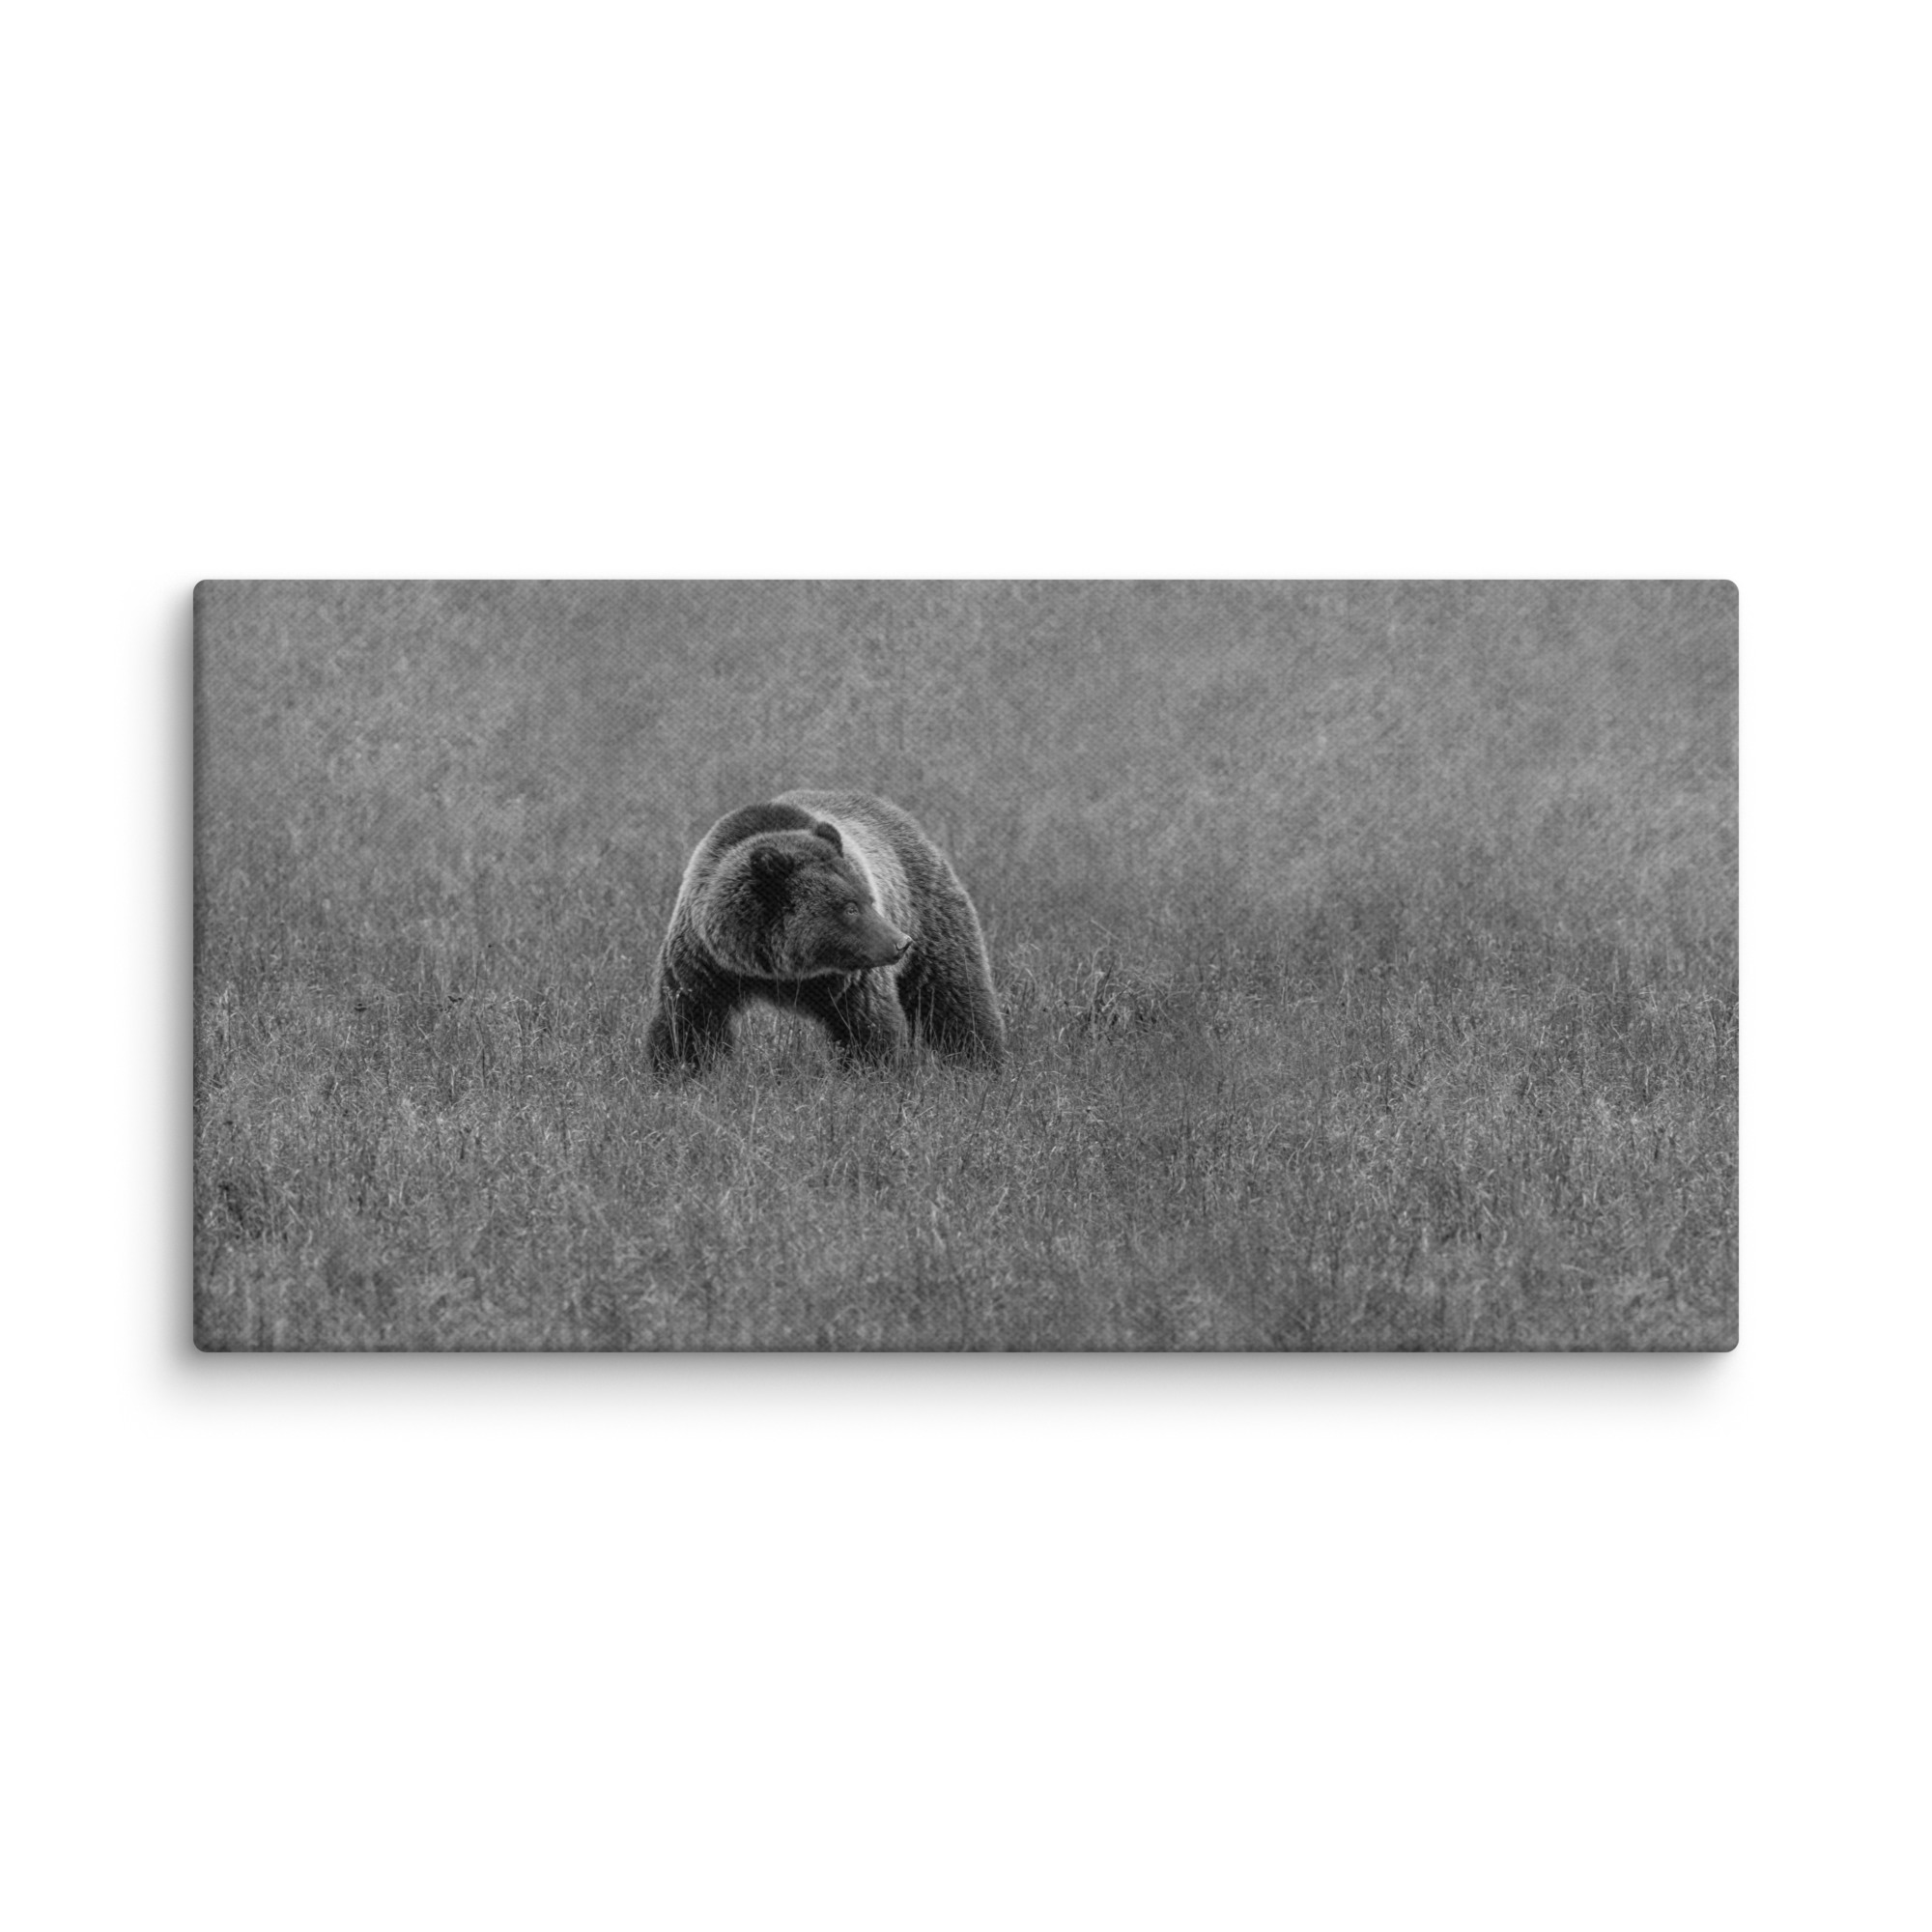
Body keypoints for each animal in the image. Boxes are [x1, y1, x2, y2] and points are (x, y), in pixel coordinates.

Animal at [645, 789, 1005, 1072]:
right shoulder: (706, 962)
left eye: (868, 899)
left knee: (954, 994)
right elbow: (689, 1021)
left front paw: (873, 1073)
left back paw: (981, 1062)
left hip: (928, 912)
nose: (901, 943)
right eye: (850, 907)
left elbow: (868, 1025)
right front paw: (679, 1071)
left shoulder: (850, 978)